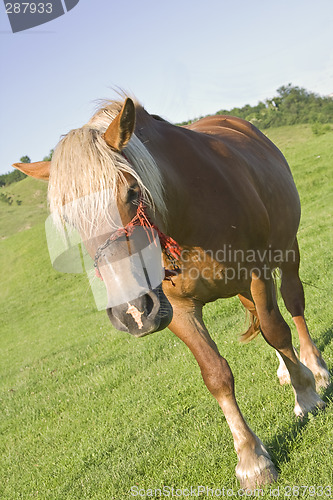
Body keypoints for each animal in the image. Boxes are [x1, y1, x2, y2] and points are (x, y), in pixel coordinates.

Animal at [13, 95, 330, 486]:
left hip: (287, 254)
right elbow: (216, 375)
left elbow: (277, 330)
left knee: (293, 306)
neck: (185, 212)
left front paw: (307, 395)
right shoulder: (176, 308)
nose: (131, 311)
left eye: (132, 192)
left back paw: (314, 367)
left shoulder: (257, 274)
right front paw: (251, 459)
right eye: (71, 220)